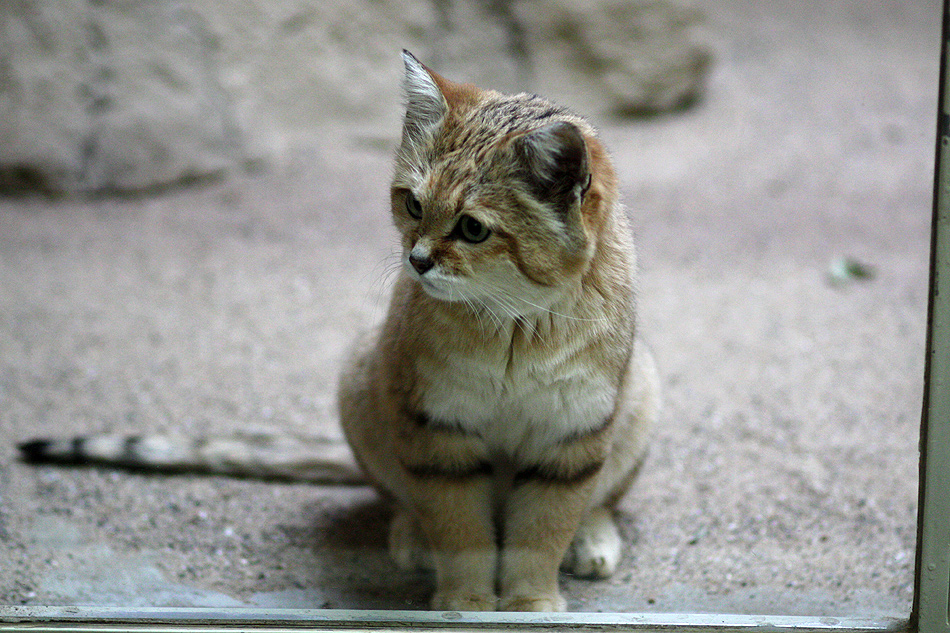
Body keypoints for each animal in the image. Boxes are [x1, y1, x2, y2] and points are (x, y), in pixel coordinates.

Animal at [16, 51, 660, 608]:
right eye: (411, 204)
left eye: (474, 229)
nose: (416, 261)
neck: (513, 325)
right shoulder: (437, 429)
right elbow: (460, 529)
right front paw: (466, 603)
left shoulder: (571, 435)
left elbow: (541, 534)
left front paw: (531, 603)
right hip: (363, 382)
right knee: (404, 497)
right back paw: (414, 537)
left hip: (637, 400)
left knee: (599, 498)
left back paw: (593, 538)